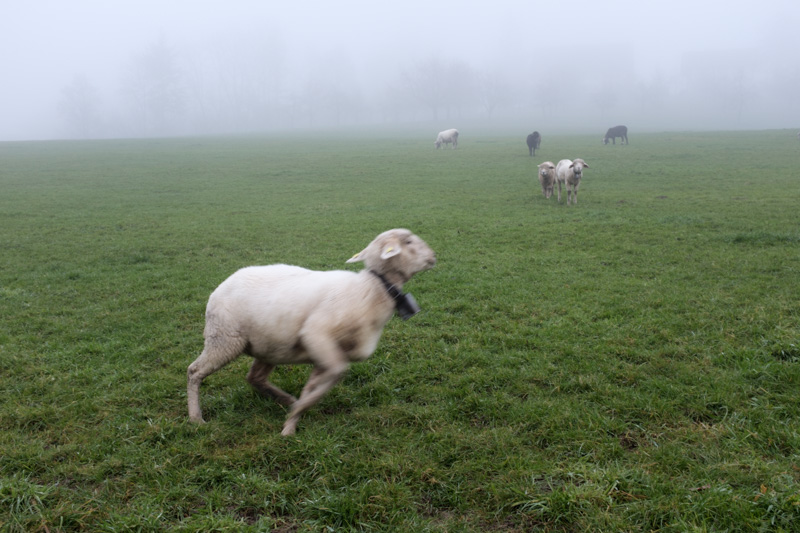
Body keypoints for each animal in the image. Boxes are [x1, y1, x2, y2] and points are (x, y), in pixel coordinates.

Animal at [187, 228, 436, 436]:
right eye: (408, 241)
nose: (434, 256)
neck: (371, 290)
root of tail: (222, 285)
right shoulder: (317, 336)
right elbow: (332, 377)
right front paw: (289, 427)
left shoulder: (326, 353)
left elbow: (313, 388)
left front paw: (293, 416)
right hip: (224, 338)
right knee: (194, 371)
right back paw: (196, 418)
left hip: (269, 346)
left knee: (254, 378)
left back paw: (286, 399)